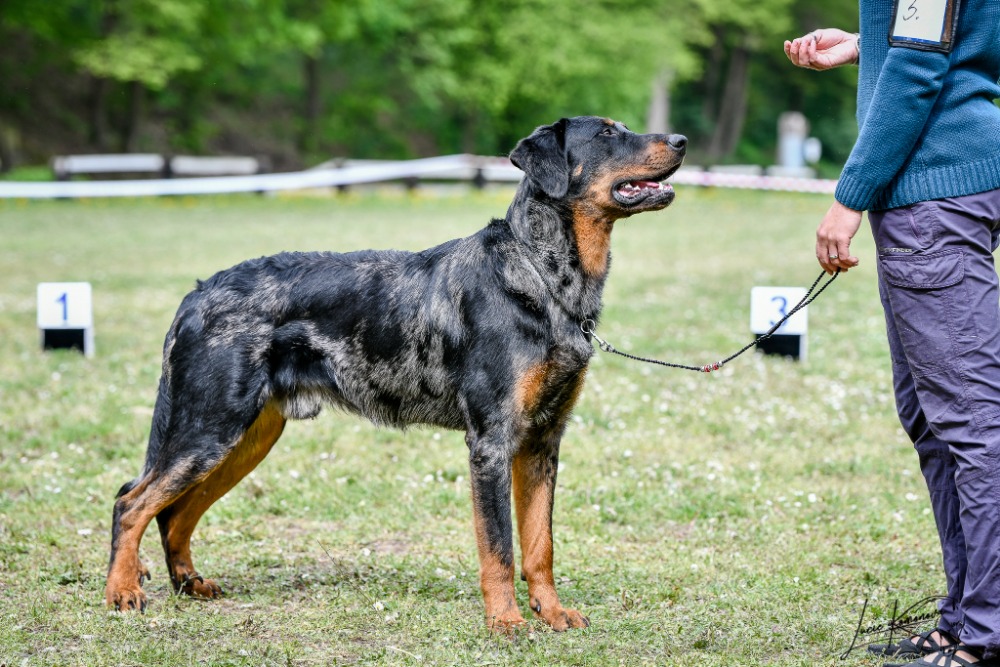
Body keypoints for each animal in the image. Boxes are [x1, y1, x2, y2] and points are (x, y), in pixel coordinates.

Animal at [107, 117, 688, 636]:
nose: (681, 140)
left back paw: (189, 584)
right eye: (608, 133)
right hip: (210, 428)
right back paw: (123, 592)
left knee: (174, 513)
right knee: (131, 502)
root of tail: (196, 294)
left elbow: (539, 546)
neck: (542, 275)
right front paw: (506, 621)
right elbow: (499, 548)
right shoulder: (492, 443)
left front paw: (551, 612)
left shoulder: (542, 441)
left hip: (246, 438)